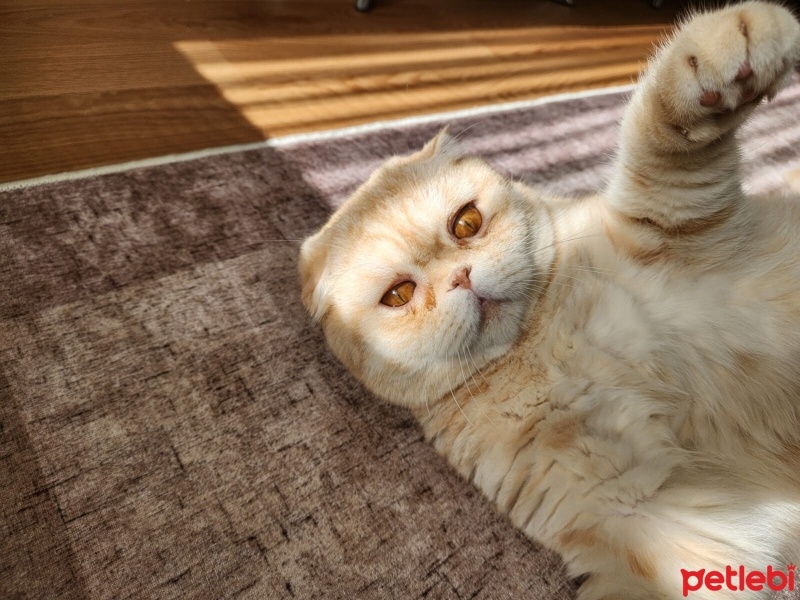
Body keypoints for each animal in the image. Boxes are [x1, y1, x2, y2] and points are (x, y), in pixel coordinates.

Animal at [296, 2, 800, 596]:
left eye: (466, 223)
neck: (538, 345)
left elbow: (657, 137)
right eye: (399, 295)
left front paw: (721, 49)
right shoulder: (653, 515)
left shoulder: (671, 223)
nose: (461, 277)